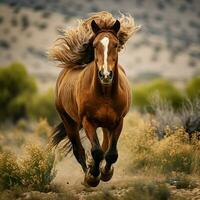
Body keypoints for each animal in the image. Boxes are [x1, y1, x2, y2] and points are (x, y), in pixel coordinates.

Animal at [49, 12, 138, 188]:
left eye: (115, 44)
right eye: (95, 45)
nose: (105, 75)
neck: (105, 93)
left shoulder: (118, 121)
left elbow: (111, 153)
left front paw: (106, 173)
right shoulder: (87, 121)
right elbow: (96, 151)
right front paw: (92, 176)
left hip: (106, 125)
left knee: (104, 145)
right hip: (69, 122)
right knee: (79, 150)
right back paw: (87, 175)